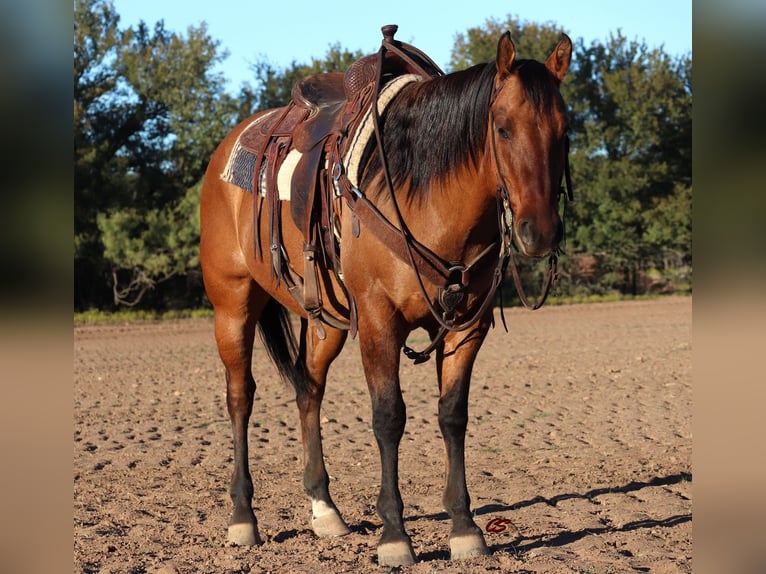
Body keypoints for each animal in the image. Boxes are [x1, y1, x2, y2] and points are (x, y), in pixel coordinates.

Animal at [201, 25, 572, 568]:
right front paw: (395, 535)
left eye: (566, 130)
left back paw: (325, 511)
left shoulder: (466, 327)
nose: (539, 232)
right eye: (502, 128)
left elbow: (452, 415)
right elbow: (388, 418)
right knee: (239, 398)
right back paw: (243, 517)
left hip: (326, 321)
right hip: (233, 305)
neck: (427, 198)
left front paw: (464, 528)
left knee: (309, 390)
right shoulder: (379, 321)